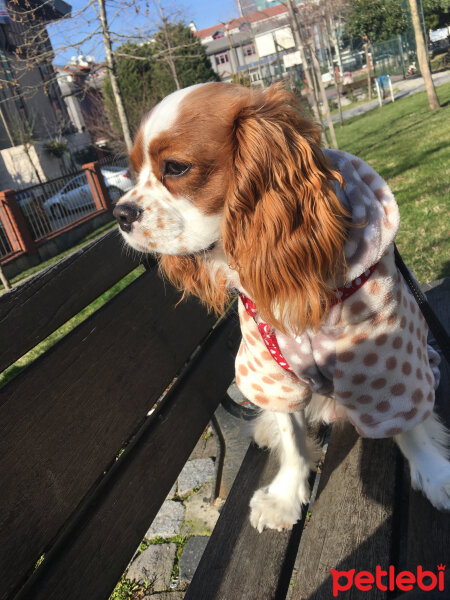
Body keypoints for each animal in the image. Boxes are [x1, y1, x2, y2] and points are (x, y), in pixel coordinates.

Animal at [113, 82, 450, 532]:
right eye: (133, 173)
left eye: (176, 167)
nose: (120, 213)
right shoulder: (268, 367)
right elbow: (291, 437)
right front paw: (285, 496)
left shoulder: (386, 356)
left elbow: (409, 425)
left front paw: (434, 472)